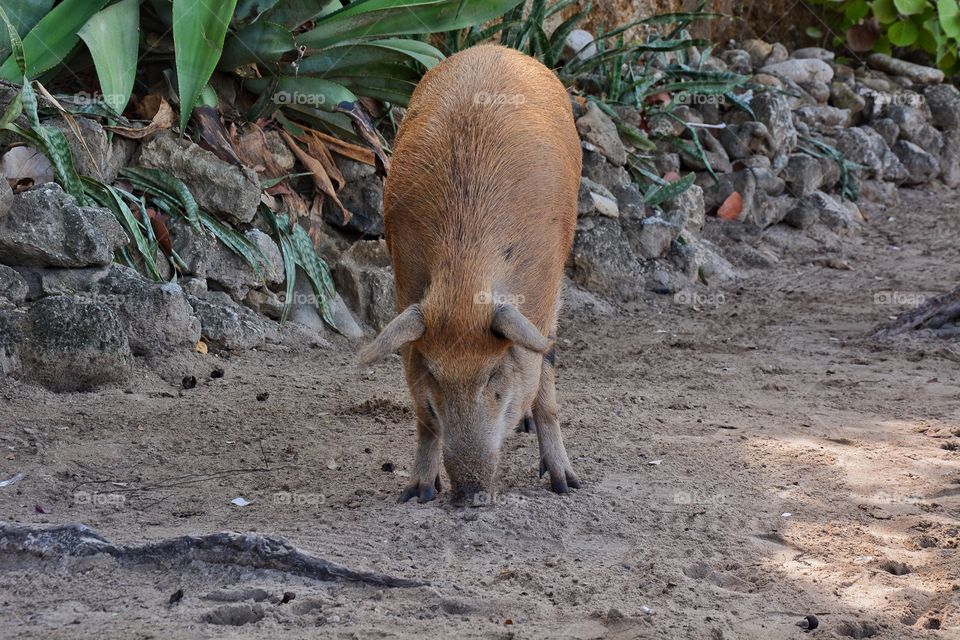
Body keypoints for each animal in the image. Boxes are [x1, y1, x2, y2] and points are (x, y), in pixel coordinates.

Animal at [360, 45, 580, 504]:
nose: (469, 492)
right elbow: (423, 417)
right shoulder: (406, 292)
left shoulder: (544, 294)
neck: (464, 283)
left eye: (493, 377)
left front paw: (567, 486)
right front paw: (416, 494)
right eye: (434, 378)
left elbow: (545, 380)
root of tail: (496, 48)